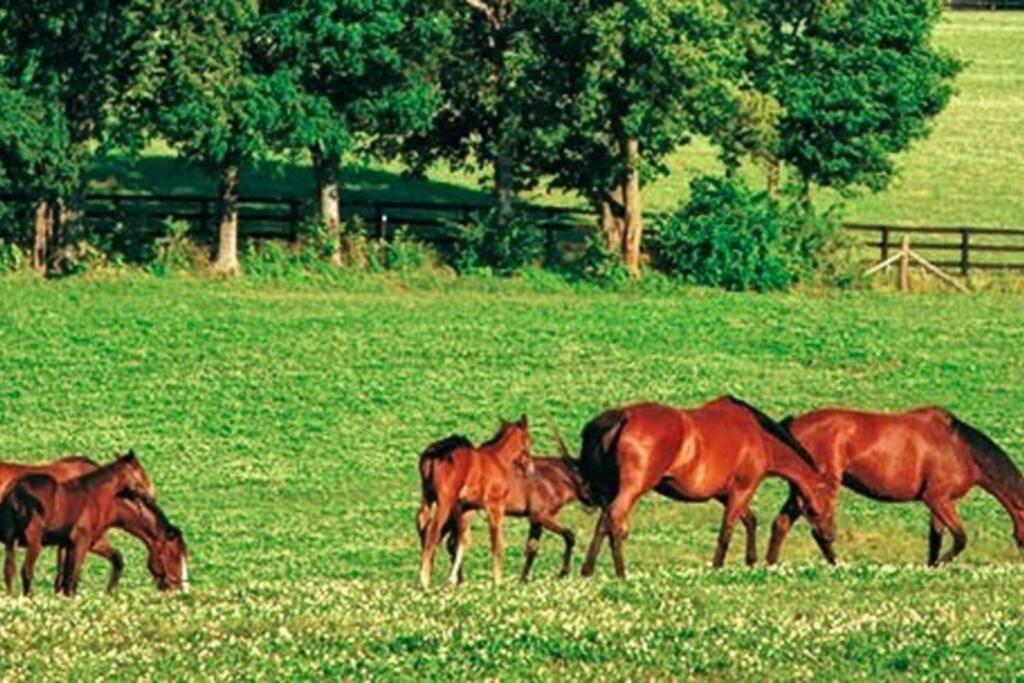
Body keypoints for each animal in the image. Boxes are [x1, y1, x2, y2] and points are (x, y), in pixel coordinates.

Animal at [0, 456, 155, 593]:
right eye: (140, 473)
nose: (152, 496)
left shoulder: (68, 542)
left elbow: (62, 577)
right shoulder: (83, 540)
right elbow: (70, 576)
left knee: (9, 571)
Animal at [415, 419, 536, 589]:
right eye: (529, 439)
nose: (530, 468)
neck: (498, 460)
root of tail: (434, 452)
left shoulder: (469, 508)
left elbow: (462, 540)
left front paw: (454, 580)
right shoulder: (495, 506)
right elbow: (496, 541)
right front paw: (498, 580)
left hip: (427, 497)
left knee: (423, 526)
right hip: (444, 502)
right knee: (433, 532)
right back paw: (425, 581)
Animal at [438, 456, 585, 585]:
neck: (552, 478)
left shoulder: (535, 521)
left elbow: (532, 548)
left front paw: (523, 581)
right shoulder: (541, 516)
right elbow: (569, 535)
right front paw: (563, 573)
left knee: (451, 542)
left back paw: (459, 580)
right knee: (452, 542)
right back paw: (459, 580)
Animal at [573, 395, 835, 577]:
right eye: (827, 506)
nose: (830, 537)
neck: (760, 437)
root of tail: (622, 417)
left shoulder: (724, 494)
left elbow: (749, 520)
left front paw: (750, 561)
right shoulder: (742, 490)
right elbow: (726, 531)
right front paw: (717, 568)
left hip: (610, 491)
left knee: (604, 522)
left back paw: (587, 571)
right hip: (631, 491)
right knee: (615, 521)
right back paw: (621, 573)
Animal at [765, 405, 1024, 565]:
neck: (959, 448)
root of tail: (793, 425)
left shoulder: (939, 502)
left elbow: (935, 540)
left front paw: (931, 567)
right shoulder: (937, 498)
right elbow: (960, 538)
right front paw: (940, 564)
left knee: (782, 523)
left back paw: (772, 565)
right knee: (818, 530)